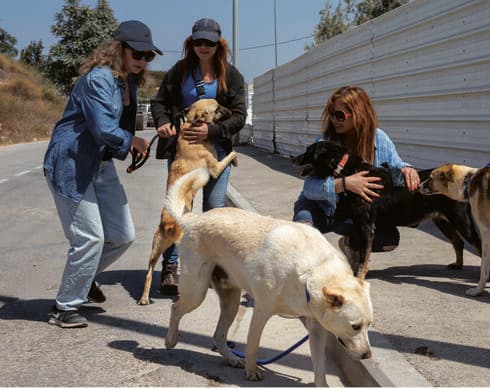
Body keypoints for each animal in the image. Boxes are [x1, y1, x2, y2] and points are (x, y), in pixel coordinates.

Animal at [137, 98, 238, 304]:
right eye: (217, 109)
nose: (231, 111)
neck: (193, 124)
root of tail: (168, 222)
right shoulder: (215, 168)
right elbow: (230, 156)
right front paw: (235, 157)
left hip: (155, 250)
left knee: (149, 274)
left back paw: (144, 298)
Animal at [163, 167, 374, 384]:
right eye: (355, 326)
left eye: (369, 325)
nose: (367, 355)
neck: (311, 271)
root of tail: (194, 219)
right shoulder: (261, 312)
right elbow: (252, 345)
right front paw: (251, 370)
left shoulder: (317, 327)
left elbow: (319, 366)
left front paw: (321, 385)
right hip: (196, 292)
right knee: (175, 307)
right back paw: (171, 339)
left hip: (230, 302)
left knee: (218, 335)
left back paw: (231, 358)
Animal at [290, 141, 482, 278]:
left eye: (309, 151)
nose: (293, 157)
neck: (344, 169)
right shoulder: (359, 224)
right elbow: (359, 253)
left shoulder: (366, 225)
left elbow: (363, 256)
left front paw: (359, 277)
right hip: (442, 220)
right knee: (458, 242)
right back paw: (458, 265)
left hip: (461, 221)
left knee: (479, 246)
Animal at [418, 163, 490, 294]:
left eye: (431, 178)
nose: (418, 186)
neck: (467, 182)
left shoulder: (486, 231)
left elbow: (484, 267)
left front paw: (478, 290)